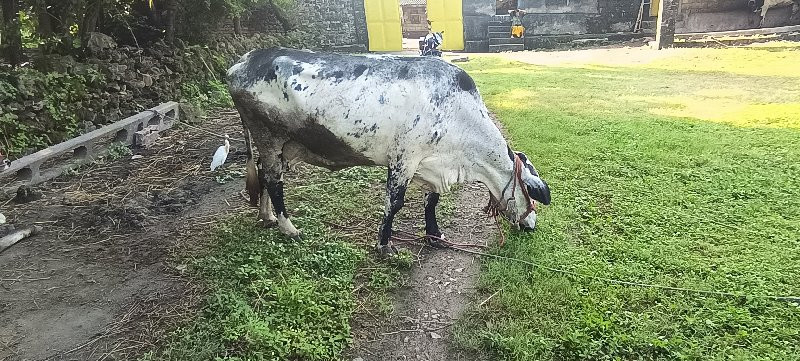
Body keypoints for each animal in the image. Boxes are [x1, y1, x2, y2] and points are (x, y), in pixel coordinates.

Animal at [225, 47, 552, 253]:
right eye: (531, 193)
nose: (531, 226)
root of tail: (240, 64)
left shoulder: (429, 165)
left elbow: (431, 201)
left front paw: (434, 235)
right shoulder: (403, 160)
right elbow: (394, 204)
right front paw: (384, 244)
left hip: (275, 146)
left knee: (264, 178)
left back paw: (267, 217)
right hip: (268, 138)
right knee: (273, 181)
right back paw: (288, 228)